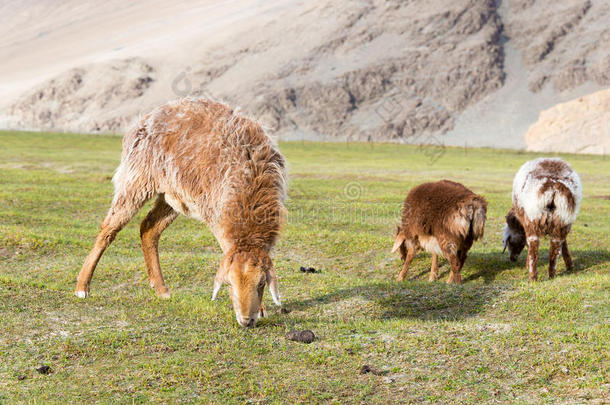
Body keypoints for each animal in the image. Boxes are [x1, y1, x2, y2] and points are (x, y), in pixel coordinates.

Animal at [75, 97, 286, 326]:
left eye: (261, 284)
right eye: (229, 284)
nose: (246, 320)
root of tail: (144, 119)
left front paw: (262, 309)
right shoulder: (216, 213)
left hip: (171, 195)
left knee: (148, 228)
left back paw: (161, 289)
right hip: (136, 180)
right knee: (108, 229)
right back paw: (82, 287)